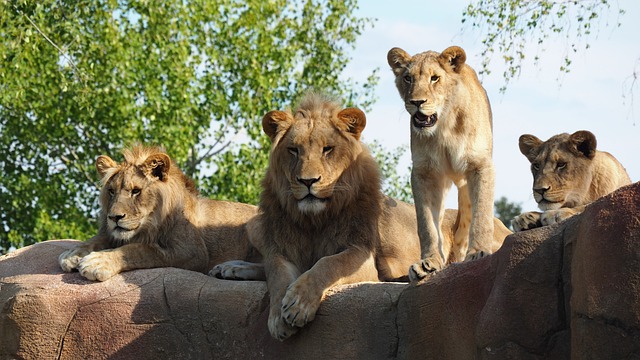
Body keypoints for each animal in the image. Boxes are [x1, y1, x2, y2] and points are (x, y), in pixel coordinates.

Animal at [58, 146, 260, 282]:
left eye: (136, 191)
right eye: (111, 191)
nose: (114, 218)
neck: (149, 225)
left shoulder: (192, 252)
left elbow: (141, 250)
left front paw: (98, 262)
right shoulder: (113, 234)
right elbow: (95, 240)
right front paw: (72, 254)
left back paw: (232, 269)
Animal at [212, 93, 508, 340]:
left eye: (327, 149)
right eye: (294, 150)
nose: (308, 181)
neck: (314, 221)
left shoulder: (363, 257)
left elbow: (327, 264)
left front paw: (298, 305)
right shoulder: (282, 248)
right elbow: (277, 275)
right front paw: (277, 318)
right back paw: (231, 268)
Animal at [388, 45, 498, 282]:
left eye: (435, 78)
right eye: (408, 78)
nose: (416, 102)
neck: (444, 127)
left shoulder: (480, 165)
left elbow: (482, 213)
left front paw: (479, 252)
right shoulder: (424, 172)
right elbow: (427, 225)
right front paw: (428, 262)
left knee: (466, 219)